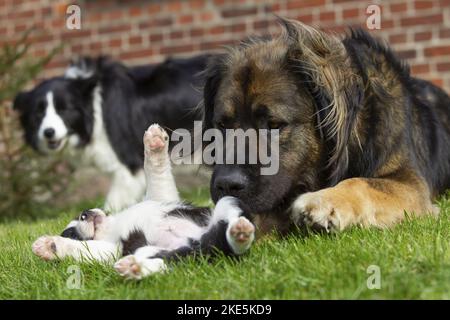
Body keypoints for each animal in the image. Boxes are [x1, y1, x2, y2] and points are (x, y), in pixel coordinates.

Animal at [13, 56, 207, 212]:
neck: (93, 107)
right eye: (38, 113)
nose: (48, 132)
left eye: (64, 109)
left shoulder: (129, 166)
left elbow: (114, 202)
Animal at [32, 124, 255, 278]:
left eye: (80, 216)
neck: (110, 227)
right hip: (160, 253)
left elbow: (156, 173)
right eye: (72, 233)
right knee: (166, 264)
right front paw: (51, 246)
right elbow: (83, 249)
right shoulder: (114, 250)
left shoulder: (161, 197)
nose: (85, 213)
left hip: (227, 202)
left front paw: (154, 142)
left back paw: (240, 231)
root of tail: (202, 245)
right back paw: (134, 268)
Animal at [204, 19, 450, 235]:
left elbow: (361, 183)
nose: (227, 185)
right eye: (222, 125)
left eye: (274, 125)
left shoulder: (410, 183)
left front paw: (324, 201)